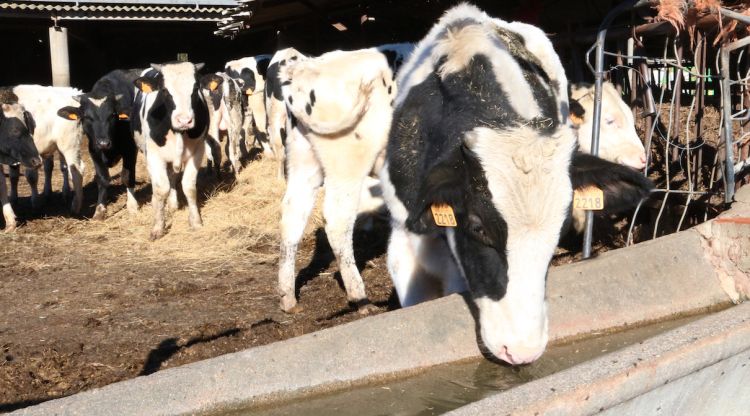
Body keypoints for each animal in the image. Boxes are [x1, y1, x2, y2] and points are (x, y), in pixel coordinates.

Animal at [8, 85, 86, 214]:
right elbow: (13, 176)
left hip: (69, 143)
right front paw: (13, 200)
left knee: (76, 169)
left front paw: (35, 203)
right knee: (62, 167)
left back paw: (75, 206)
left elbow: (31, 176)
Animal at [57, 69, 142, 218]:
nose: (103, 143)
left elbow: (127, 176)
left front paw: (132, 205)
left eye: (112, 115)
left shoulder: (130, 149)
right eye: (86, 117)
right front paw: (100, 209)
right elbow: (102, 179)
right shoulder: (94, 150)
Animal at [132, 61, 213, 240]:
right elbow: (161, 188)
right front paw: (158, 227)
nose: (184, 120)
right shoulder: (154, 154)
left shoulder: (197, 151)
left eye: (195, 88)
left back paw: (173, 203)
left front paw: (195, 221)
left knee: (172, 176)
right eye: (164, 90)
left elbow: (189, 187)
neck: (178, 132)